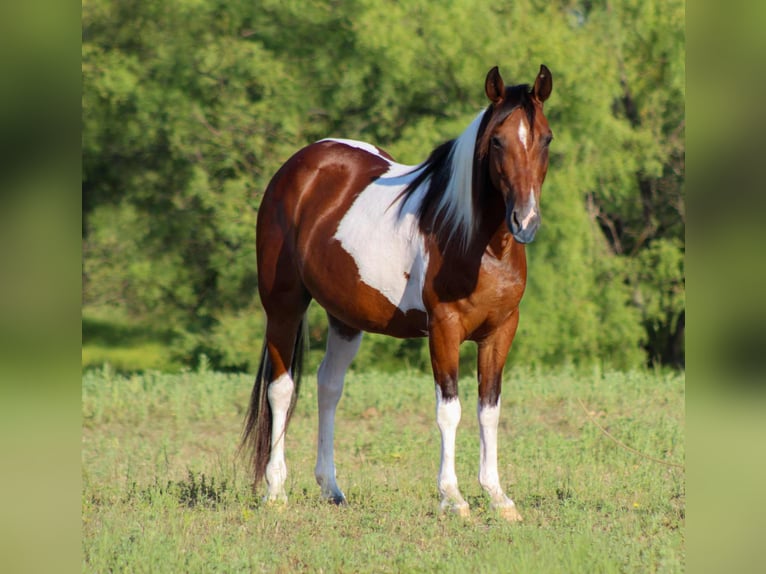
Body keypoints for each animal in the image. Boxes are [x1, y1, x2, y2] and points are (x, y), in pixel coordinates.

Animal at [242, 65, 553, 522]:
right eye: (497, 140)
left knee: (328, 386)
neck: (472, 238)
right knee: (281, 390)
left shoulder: (500, 332)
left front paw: (498, 497)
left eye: (546, 138)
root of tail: (298, 166)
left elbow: (489, 411)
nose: (525, 221)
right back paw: (276, 491)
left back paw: (331, 487)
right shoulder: (444, 330)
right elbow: (450, 411)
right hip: (283, 306)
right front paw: (453, 497)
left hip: (345, 318)